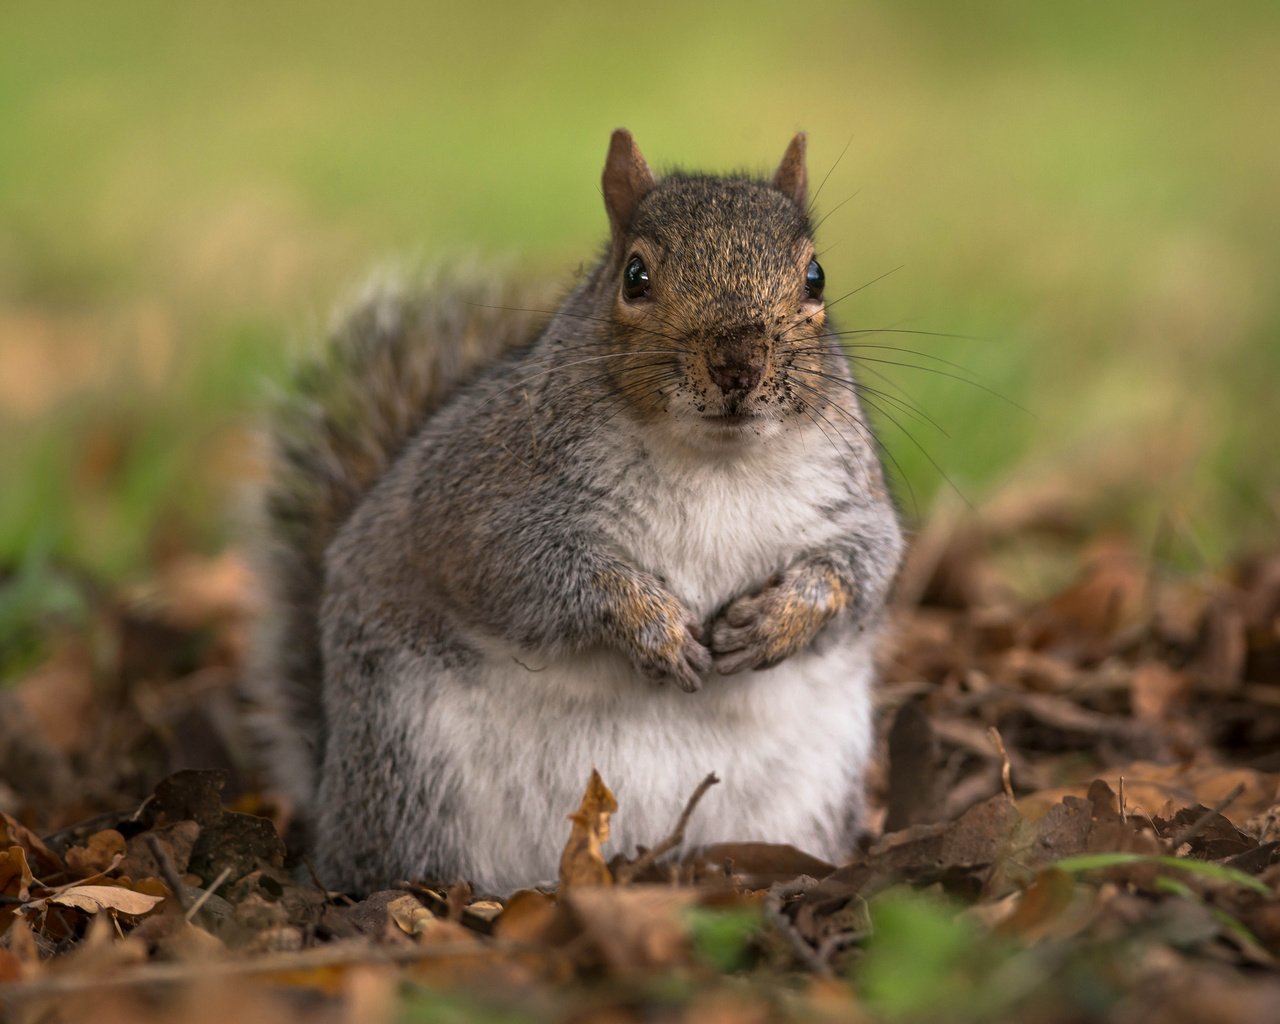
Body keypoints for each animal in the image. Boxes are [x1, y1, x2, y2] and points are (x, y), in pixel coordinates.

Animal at [249, 129, 906, 896]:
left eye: (816, 278)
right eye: (635, 277)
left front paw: (780, 619)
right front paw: (652, 627)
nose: (737, 363)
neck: (718, 462)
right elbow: (530, 573)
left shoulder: (852, 503)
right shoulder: (478, 504)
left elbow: (866, 569)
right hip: (408, 769)